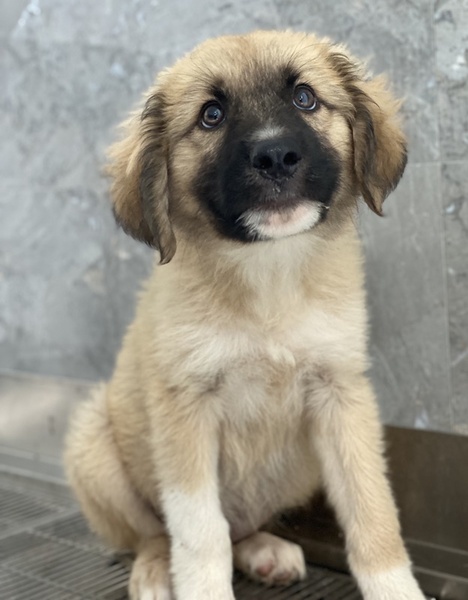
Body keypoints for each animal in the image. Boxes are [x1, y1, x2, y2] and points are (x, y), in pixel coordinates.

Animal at [65, 30, 425, 600]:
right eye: (211, 115)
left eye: (305, 97)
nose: (275, 155)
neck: (268, 276)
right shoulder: (185, 409)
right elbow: (199, 533)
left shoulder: (341, 395)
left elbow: (372, 511)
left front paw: (395, 589)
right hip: (93, 446)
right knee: (155, 533)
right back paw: (154, 572)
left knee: (240, 529)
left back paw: (263, 550)